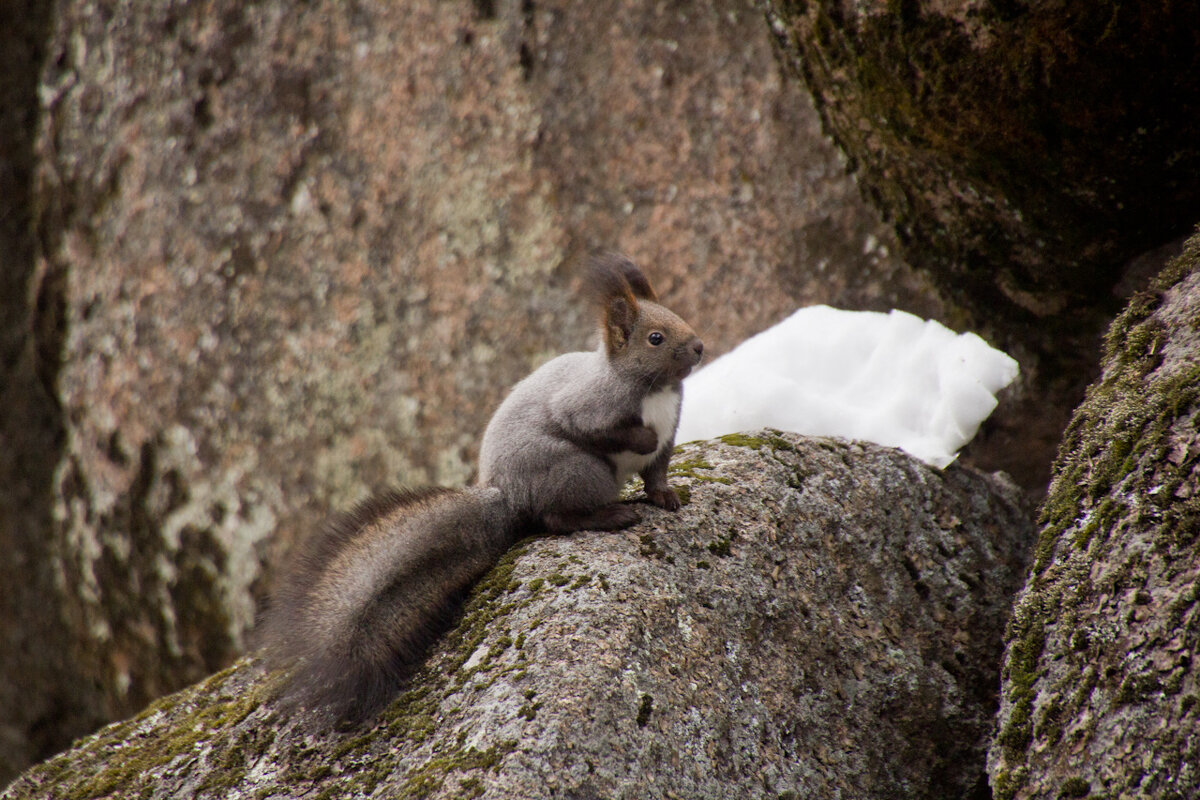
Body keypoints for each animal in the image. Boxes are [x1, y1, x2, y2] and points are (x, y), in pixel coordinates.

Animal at [255, 256, 700, 724]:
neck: (654, 390)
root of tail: (505, 495)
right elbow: (598, 428)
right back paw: (610, 515)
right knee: (556, 517)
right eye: (655, 337)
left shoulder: (670, 436)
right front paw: (641, 441)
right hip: (579, 470)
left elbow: (657, 475)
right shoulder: (589, 405)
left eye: (678, 316)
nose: (700, 347)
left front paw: (668, 498)